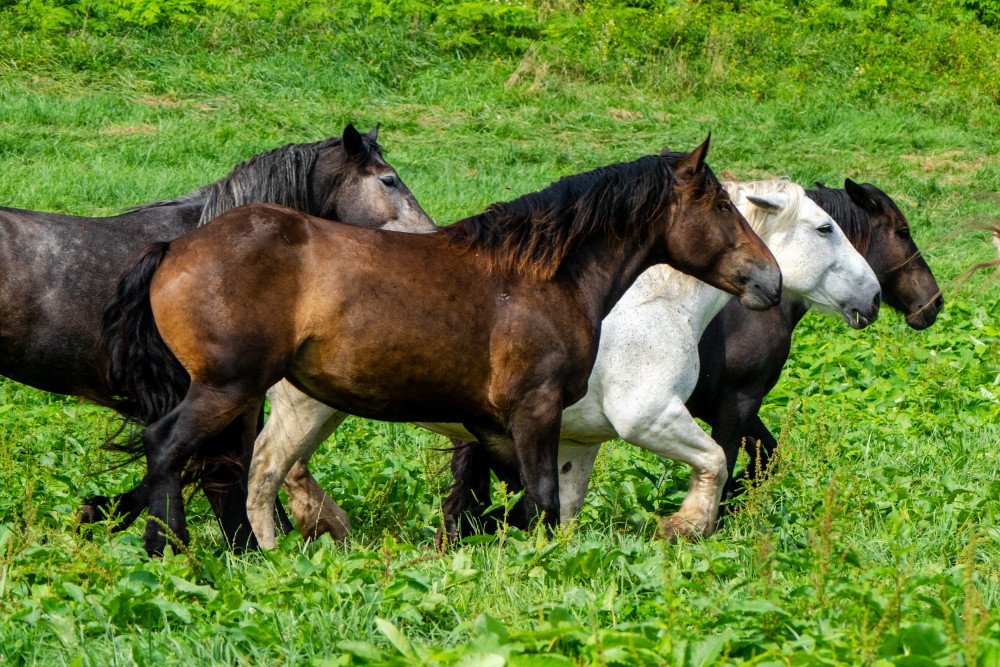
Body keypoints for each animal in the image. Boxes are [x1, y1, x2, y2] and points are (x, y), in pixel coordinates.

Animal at [98, 138, 783, 554]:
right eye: (723, 207)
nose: (770, 281)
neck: (541, 277)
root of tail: (175, 249)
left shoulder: (505, 426)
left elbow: (524, 502)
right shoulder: (533, 410)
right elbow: (541, 501)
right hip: (228, 388)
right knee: (173, 450)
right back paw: (169, 549)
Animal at [248, 179, 882, 543]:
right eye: (825, 228)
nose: (873, 297)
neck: (649, 303)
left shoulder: (578, 440)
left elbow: (565, 510)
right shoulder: (650, 417)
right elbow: (716, 461)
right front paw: (685, 526)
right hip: (307, 406)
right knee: (272, 467)